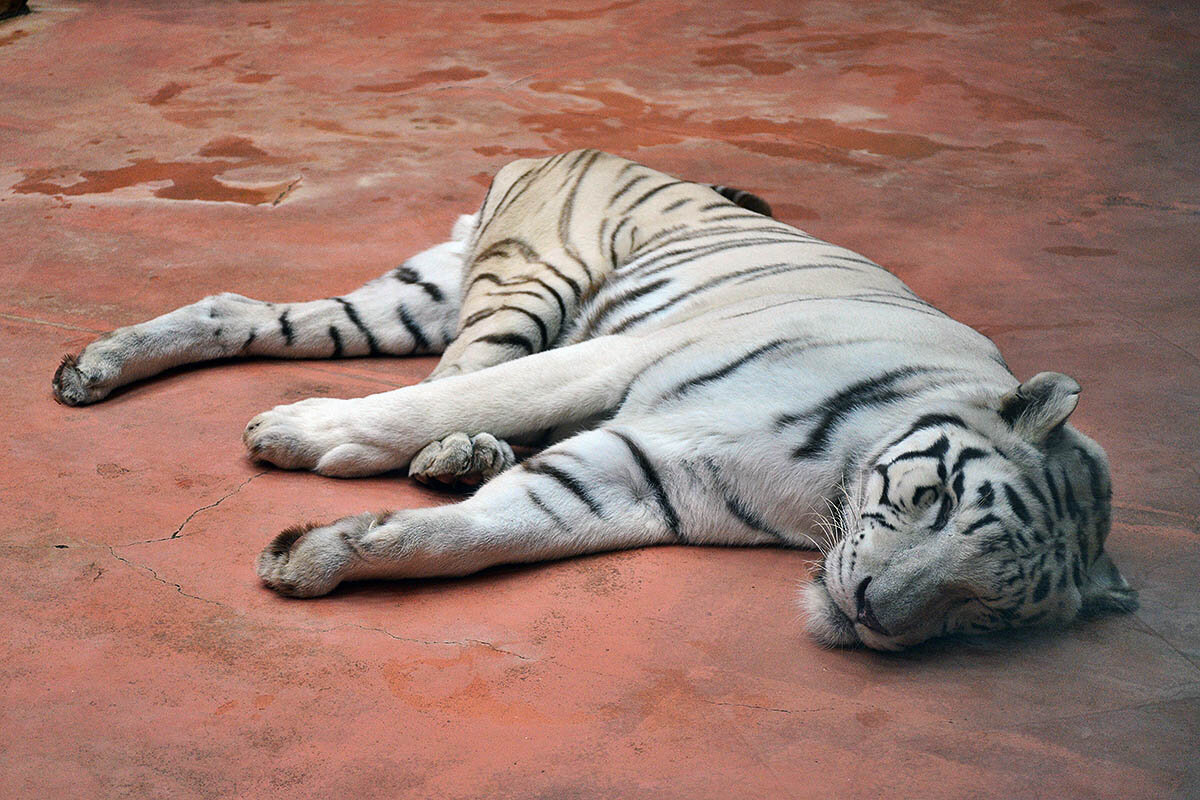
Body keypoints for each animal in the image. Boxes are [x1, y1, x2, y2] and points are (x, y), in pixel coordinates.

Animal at [51, 148, 1132, 652]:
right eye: (932, 500)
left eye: (982, 610)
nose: (870, 611)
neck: (830, 484)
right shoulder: (621, 360)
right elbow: (421, 410)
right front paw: (296, 429)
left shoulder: (647, 472)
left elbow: (479, 533)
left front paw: (318, 553)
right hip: (526, 286)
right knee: (450, 381)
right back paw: (438, 449)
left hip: (404, 303)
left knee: (242, 309)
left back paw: (95, 366)